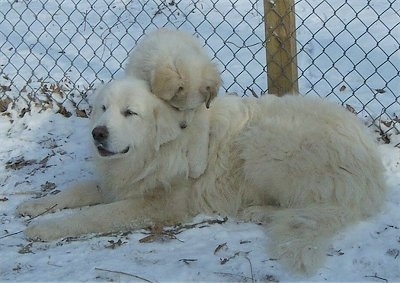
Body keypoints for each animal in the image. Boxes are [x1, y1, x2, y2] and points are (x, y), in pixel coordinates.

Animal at [17, 77, 386, 276]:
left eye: (129, 113)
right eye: (103, 109)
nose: (98, 133)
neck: (159, 146)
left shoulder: (157, 204)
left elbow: (94, 215)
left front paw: (45, 229)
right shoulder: (119, 181)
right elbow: (76, 192)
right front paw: (34, 206)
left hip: (262, 144)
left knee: (305, 207)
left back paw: (257, 211)